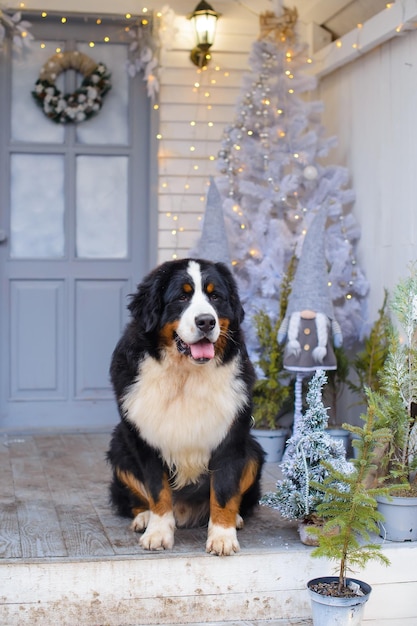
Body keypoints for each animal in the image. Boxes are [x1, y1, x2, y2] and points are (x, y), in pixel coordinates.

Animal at [106, 256, 264, 552]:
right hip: (119, 447)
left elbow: (224, 491)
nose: (206, 322)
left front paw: (222, 536)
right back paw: (143, 518)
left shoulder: (231, 436)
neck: (185, 375)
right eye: (182, 297)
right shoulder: (145, 438)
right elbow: (157, 491)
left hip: (253, 451)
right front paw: (158, 532)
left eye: (215, 297)